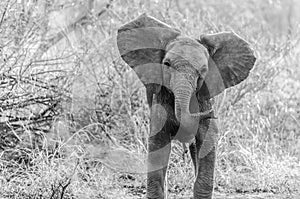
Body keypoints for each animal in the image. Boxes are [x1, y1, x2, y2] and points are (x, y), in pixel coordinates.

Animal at [116, 13, 256, 198]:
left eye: (203, 71)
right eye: (166, 64)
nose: (212, 112)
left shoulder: (204, 98)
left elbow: (207, 141)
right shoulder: (161, 98)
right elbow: (158, 144)